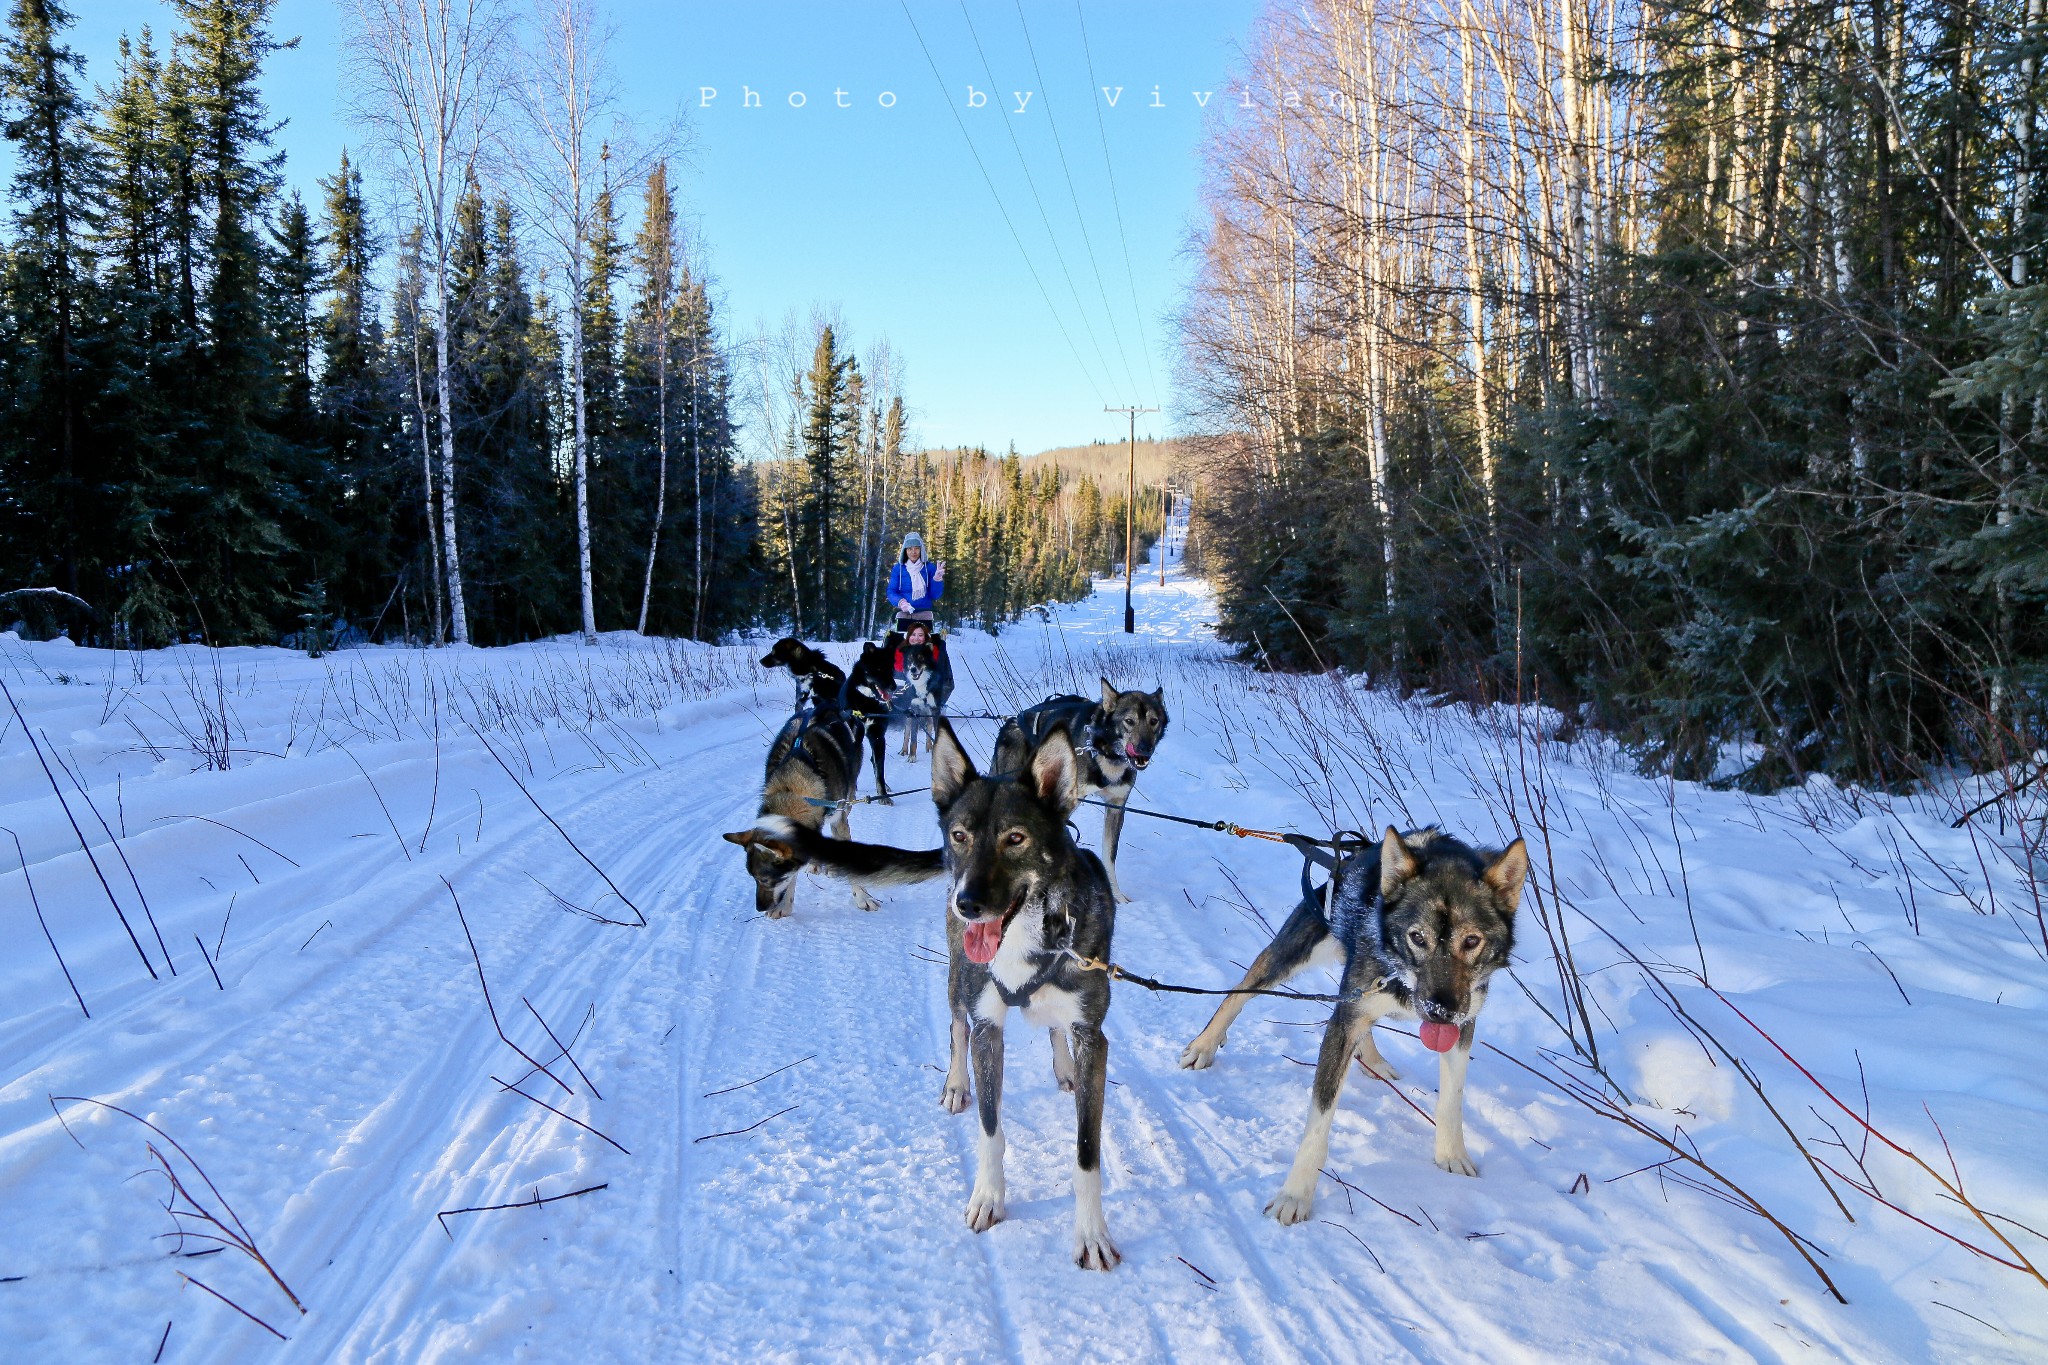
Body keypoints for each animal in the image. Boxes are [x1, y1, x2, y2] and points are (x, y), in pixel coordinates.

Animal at [786, 720, 1138, 1277]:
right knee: (956, 1029)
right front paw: (988, 1196)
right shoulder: (988, 1029)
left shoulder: (1092, 1036)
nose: (966, 903)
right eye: (960, 836)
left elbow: (1086, 1151)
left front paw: (1091, 1233)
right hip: (956, 980)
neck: (1024, 941)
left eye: (1015, 838)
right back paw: (955, 1083)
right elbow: (990, 1128)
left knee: (1052, 1028)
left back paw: (1062, 1067)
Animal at [991, 683, 1171, 908]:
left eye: (1153, 721)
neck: (1104, 752)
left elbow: (1109, 856)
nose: (1144, 750)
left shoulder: (1116, 807)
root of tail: (1012, 720)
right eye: (1129, 721)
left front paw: (1117, 896)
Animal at [1179, 826, 1531, 1219]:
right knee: (1238, 992)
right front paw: (1295, 1195)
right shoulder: (1343, 1023)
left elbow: (1451, 1101)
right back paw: (1204, 1044)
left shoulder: (1462, 1024)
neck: (1400, 975)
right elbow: (1318, 1124)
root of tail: (1352, 853)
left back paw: (1373, 1060)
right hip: (1295, 953)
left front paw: (1451, 1155)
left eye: (1471, 940)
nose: (1439, 1011)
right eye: (1417, 937)